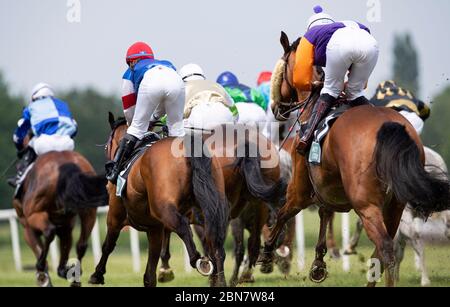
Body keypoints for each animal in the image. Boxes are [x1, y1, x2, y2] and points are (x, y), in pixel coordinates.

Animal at [12, 146, 108, 288]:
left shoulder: (27, 227)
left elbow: (39, 245)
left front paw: (43, 277)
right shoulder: (66, 225)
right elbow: (66, 243)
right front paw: (64, 271)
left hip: (35, 214)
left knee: (49, 232)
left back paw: (42, 266)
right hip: (89, 211)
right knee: (82, 244)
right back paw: (75, 277)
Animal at [89, 113, 229, 288]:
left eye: (106, 147)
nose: (108, 178)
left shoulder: (115, 215)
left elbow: (108, 245)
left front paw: (97, 274)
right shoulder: (154, 228)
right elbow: (149, 274)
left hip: (163, 208)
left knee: (182, 225)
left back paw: (198, 260)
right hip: (211, 207)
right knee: (215, 241)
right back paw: (219, 279)